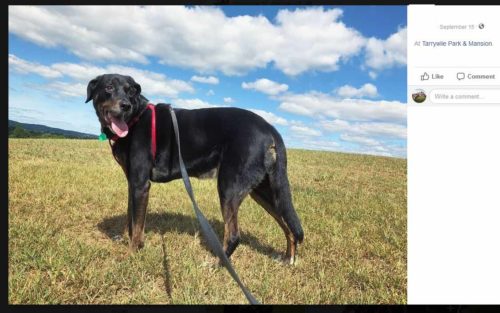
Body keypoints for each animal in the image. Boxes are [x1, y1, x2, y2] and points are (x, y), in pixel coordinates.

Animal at [86, 73, 304, 264]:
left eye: (131, 91)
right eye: (109, 87)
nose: (126, 105)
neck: (135, 118)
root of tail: (270, 128)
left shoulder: (141, 185)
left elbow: (137, 226)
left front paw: (130, 255)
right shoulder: (133, 183)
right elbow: (130, 219)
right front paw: (126, 240)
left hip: (229, 188)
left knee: (234, 235)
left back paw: (217, 264)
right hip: (263, 191)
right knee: (289, 226)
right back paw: (288, 259)